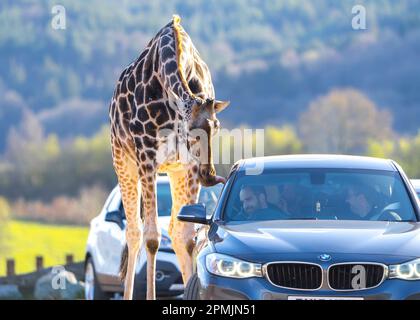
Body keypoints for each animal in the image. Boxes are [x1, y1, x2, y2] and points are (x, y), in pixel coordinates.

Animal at [108, 15, 230, 300]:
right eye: (191, 130)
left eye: (217, 127)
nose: (210, 176)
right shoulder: (147, 156)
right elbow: (152, 238)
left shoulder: (188, 167)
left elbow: (187, 237)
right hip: (123, 162)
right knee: (134, 232)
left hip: (174, 171)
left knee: (173, 231)